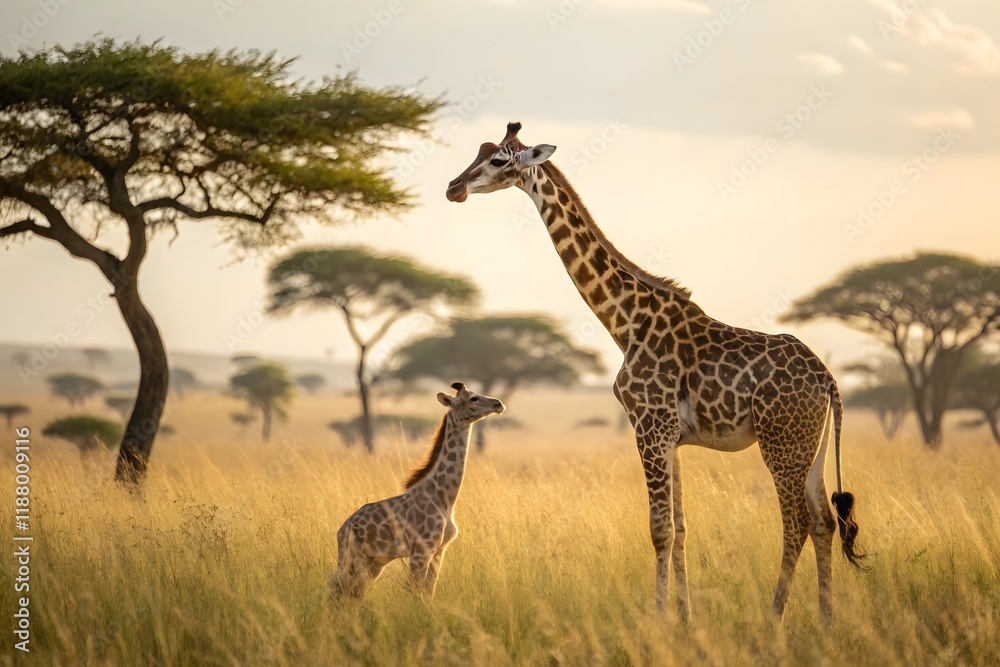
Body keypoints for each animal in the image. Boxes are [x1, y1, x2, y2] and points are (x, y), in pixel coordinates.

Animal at [330, 382, 505, 601]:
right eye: (473, 398)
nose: (499, 404)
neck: (445, 498)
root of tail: (342, 529)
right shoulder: (421, 552)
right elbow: (416, 593)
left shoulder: (439, 551)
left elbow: (428, 592)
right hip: (353, 558)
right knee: (338, 590)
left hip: (374, 562)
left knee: (352, 593)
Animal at [445, 122, 865, 625]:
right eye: (479, 151)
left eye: (499, 161)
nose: (453, 187)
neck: (626, 322)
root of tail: (828, 381)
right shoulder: (672, 436)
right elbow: (680, 527)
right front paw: (685, 619)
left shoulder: (649, 426)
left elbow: (659, 529)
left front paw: (659, 619)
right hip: (810, 446)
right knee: (823, 520)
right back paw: (825, 622)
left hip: (781, 444)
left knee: (797, 522)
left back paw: (773, 619)